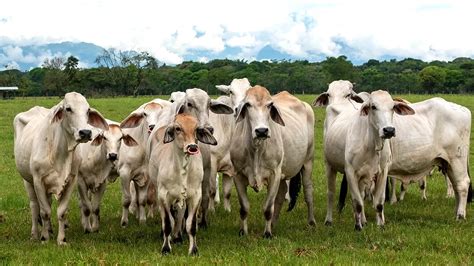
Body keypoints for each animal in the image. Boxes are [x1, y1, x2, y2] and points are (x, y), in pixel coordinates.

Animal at [14, 92, 109, 244]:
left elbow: (62, 211)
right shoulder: (38, 181)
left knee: (47, 202)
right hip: (27, 181)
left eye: (88, 110)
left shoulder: (71, 181)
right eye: (68, 109)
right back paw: (35, 234)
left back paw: (49, 229)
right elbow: (45, 212)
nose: (85, 132)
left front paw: (61, 239)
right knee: (34, 206)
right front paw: (44, 238)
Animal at [148, 113, 218, 255]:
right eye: (178, 128)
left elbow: (191, 225)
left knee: (180, 214)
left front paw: (193, 250)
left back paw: (178, 236)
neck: (182, 169)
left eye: (197, 129)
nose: (192, 147)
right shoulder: (164, 195)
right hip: (158, 190)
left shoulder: (195, 196)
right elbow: (167, 223)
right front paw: (166, 248)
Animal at [344, 90, 414, 230]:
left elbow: (379, 203)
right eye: (373, 106)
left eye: (392, 107)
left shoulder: (382, 172)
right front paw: (358, 227)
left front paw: (380, 225)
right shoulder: (350, 172)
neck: (371, 144)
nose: (389, 130)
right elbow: (357, 203)